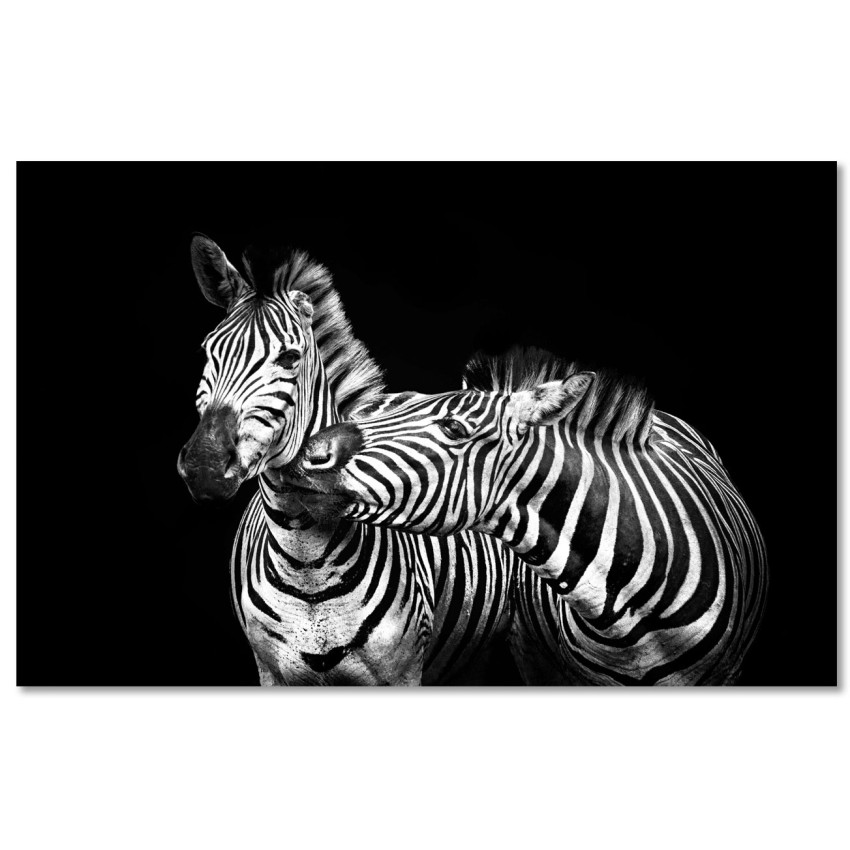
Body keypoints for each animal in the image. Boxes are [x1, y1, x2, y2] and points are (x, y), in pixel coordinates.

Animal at [176, 235, 517, 685]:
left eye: (289, 358)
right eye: (207, 350)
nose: (205, 468)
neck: (304, 561)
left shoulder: (402, 672)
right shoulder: (270, 670)